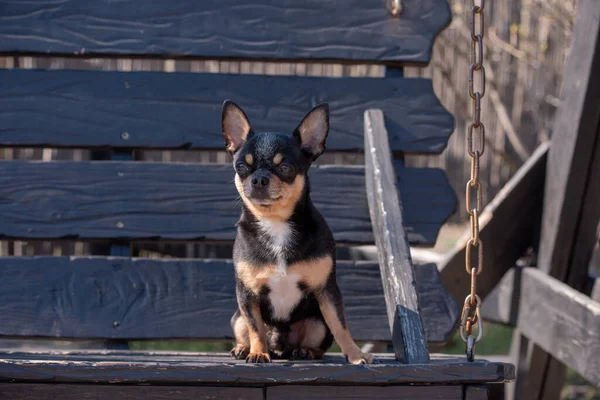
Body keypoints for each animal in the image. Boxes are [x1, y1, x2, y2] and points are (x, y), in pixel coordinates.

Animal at [223, 98, 378, 364]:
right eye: (242, 167)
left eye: (286, 168)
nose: (259, 178)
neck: (276, 223)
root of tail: (280, 347)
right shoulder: (247, 295)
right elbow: (255, 327)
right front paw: (258, 352)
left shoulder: (328, 291)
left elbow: (341, 325)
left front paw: (356, 354)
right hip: (237, 317)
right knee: (247, 328)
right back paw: (244, 348)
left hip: (317, 323)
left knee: (320, 341)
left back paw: (305, 351)